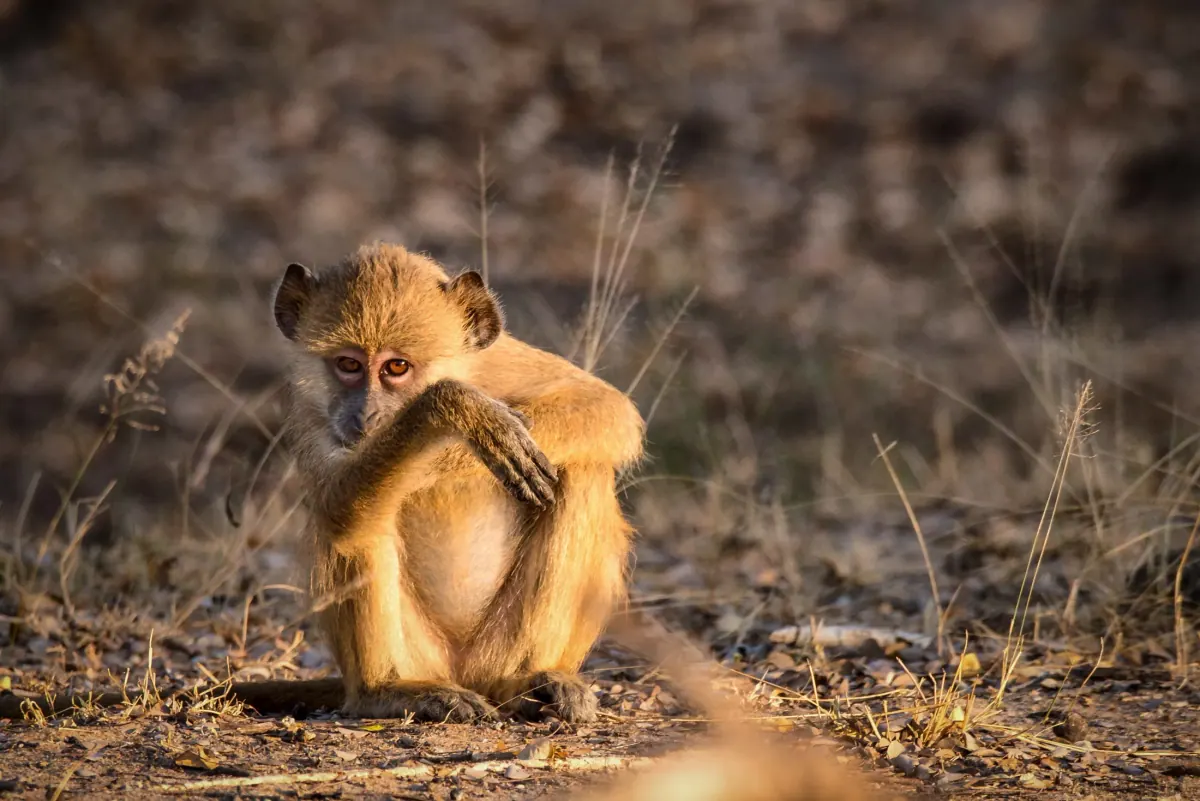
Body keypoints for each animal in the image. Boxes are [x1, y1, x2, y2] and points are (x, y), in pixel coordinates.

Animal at [0, 242, 644, 725]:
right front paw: (459, 417)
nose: (366, 416)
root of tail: (465, 671)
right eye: (349, 366)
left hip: (496, 647)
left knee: (580, 475)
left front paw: (461, 446)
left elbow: (606, 408)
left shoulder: (502, 362)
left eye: (396, 367)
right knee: (357, 530)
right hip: (421, 654)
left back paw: (530, 681)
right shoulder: (313, 419)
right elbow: (337, 509)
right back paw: (390, 692)